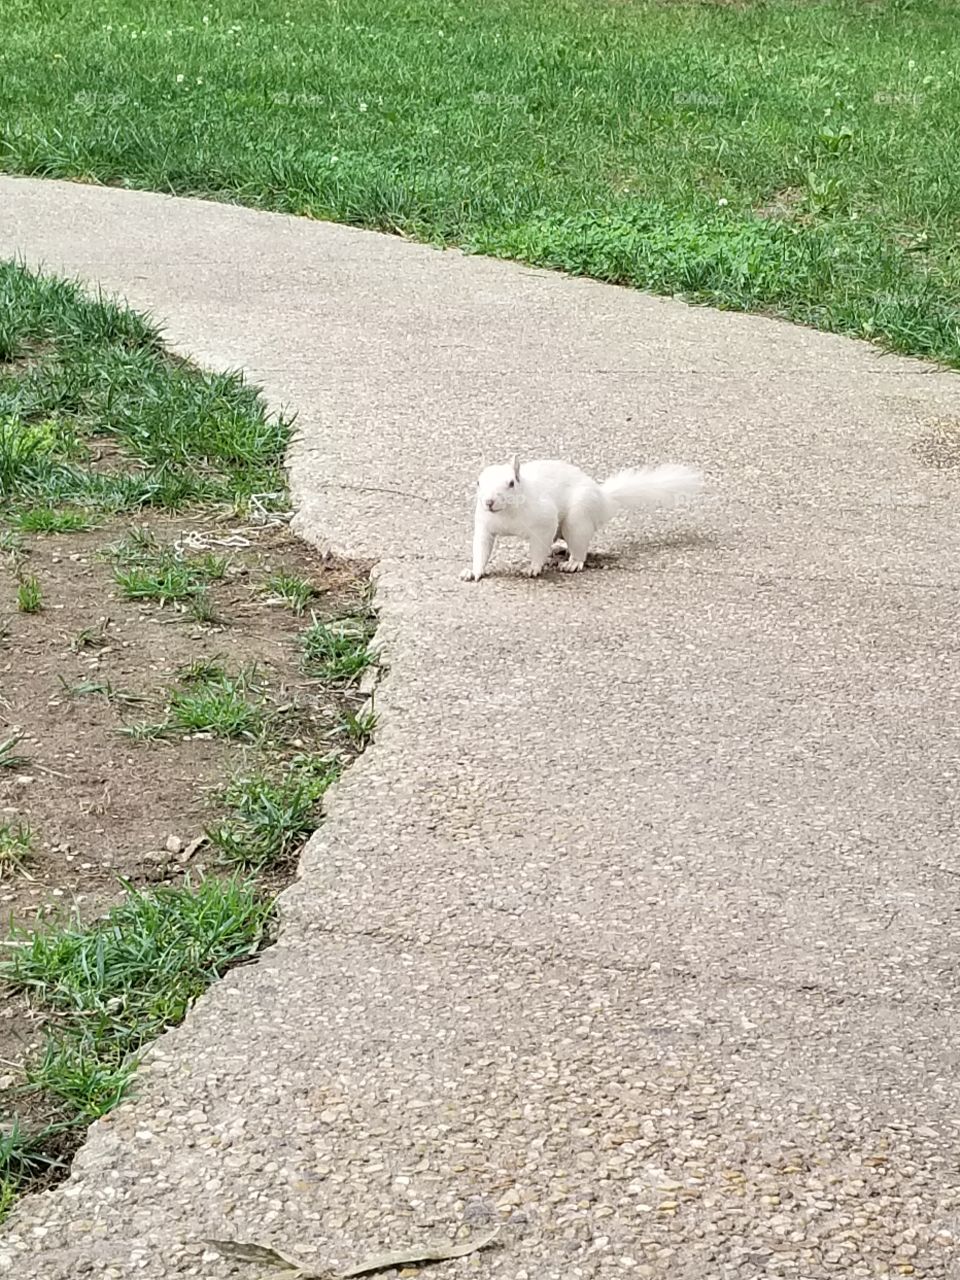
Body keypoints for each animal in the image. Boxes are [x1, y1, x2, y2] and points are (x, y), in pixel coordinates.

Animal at [461, 455, 703, 581]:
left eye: (511, 483)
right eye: (478, 482)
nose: (489, 502)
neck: (507, 513)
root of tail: (603, 499)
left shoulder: (544, 521)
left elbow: (538, 547)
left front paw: (533, 568)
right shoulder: (485, 525)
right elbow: (481, 549)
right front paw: (473, 571)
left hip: (577, 520)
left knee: (578, 546)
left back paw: (572, 563)